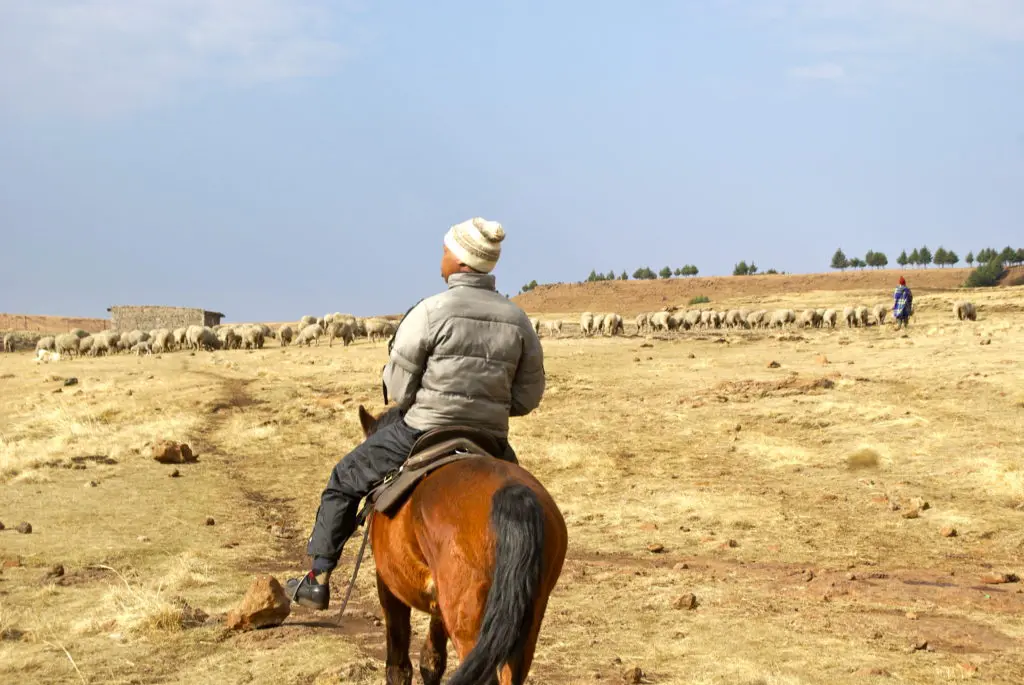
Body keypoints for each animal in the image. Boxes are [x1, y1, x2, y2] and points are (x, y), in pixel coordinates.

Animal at [358, 405, 569, 683]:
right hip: (527, 617)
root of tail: (512, 492)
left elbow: (398, 664)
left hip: (467, 618)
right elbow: (432, 659)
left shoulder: (389, 586)